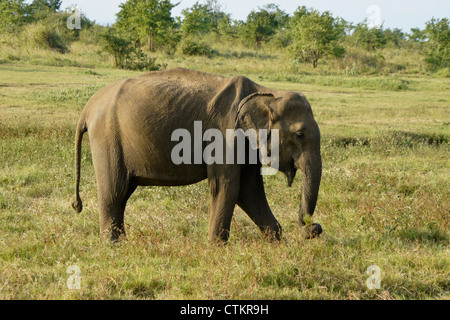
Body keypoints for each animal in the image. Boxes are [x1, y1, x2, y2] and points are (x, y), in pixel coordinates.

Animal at [72, 68, 322, 242]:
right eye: (300, 135)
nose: (313, 229)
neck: (268, 94)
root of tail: (87, 107)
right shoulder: (225, 134)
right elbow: (227, 185)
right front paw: (215, 248)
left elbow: (250, 191)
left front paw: (277, 243)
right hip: (107, 138)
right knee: (114, 191)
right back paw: (114, 246)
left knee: (123, 193)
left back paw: (122, 243)